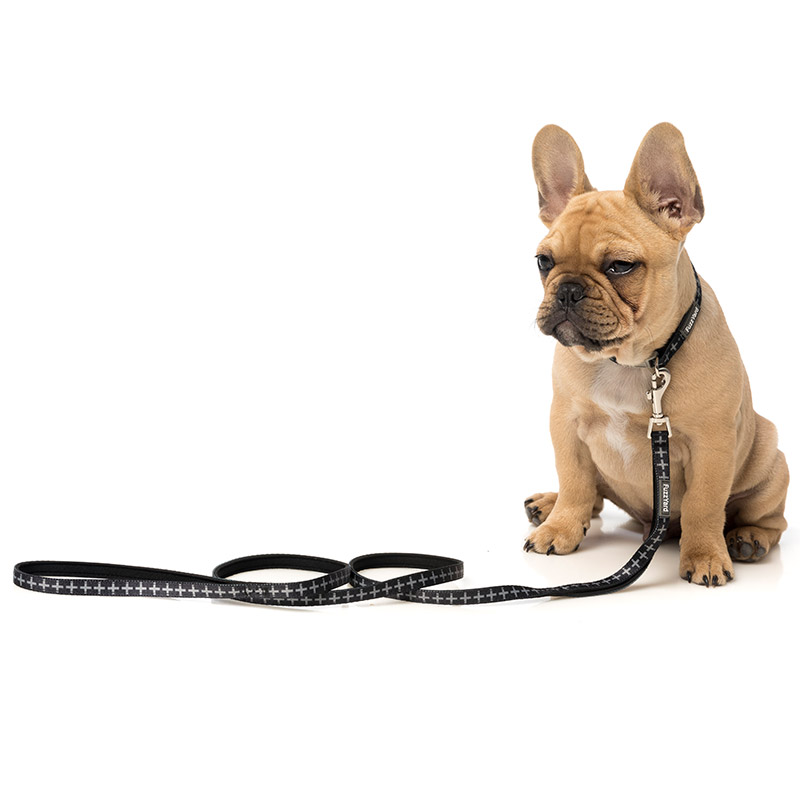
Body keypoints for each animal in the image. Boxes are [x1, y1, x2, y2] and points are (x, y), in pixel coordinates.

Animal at [523, 123, 788, 586]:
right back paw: (549, 505)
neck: (633, 361)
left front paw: (705, 556)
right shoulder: (566, 424)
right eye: (544, 261)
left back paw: (747, 538)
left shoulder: (711, 444)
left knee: (771, 520)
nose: (568, 289)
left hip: (771, 458)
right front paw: (561, 525)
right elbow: (575, 480)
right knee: (593, 493)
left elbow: (704, 505)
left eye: (620, 266)